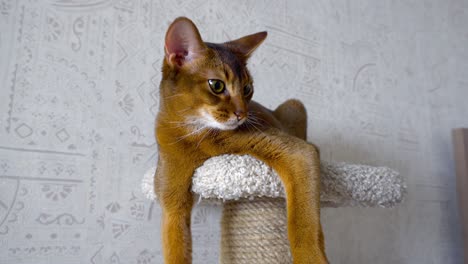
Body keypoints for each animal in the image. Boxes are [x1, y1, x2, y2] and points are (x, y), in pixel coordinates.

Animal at [155, 17, 328, 262]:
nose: (242, 114)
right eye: (216, 85)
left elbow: (302, 223)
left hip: (295, 105)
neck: (197, 136)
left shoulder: (297, 152)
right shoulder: (171, 202)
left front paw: (311, 258)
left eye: (247, 89)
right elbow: (175, 248)